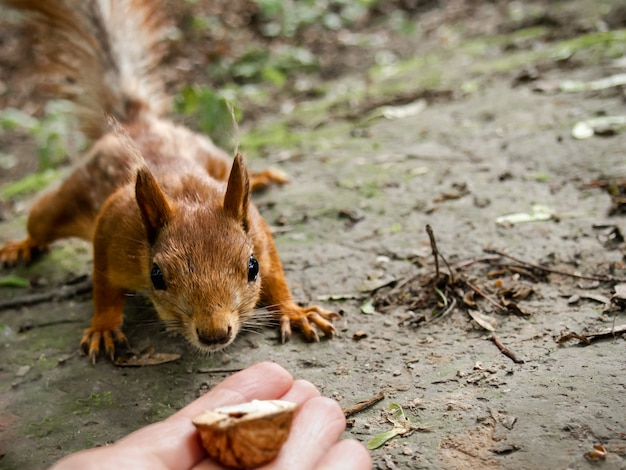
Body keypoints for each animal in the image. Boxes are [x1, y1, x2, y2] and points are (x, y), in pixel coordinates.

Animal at [0, 0, 338, 364]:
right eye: (157, 276)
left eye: (252, 267)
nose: (214, 333)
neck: (189, 195)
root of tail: (139, 122)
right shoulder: (112, 229)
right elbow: (103, 285)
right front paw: (103, 327)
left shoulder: (258, 231)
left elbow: (276, 273)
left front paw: (294, 311)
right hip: (63, 201)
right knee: (40, 223)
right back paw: (21, 247)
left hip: (209, 152)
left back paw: (261, 177)